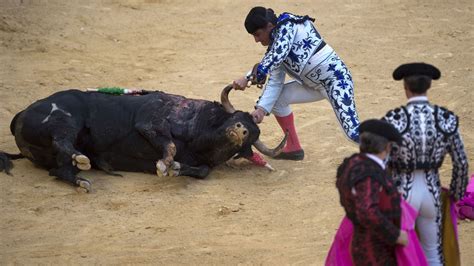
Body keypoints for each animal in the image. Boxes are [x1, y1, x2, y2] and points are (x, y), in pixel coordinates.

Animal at [0, 85, 286, 191]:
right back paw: (81, 161)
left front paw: (177, 168)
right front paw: (164, 165)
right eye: (236, 115)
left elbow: (203, 170)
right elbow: (169, 145)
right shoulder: (149, 122)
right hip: (64, 119)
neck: (197, 134)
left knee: (58, 170)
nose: (241, 129)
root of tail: (20, 115)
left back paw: (81, 178)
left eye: (253, 136)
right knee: (63, 142)